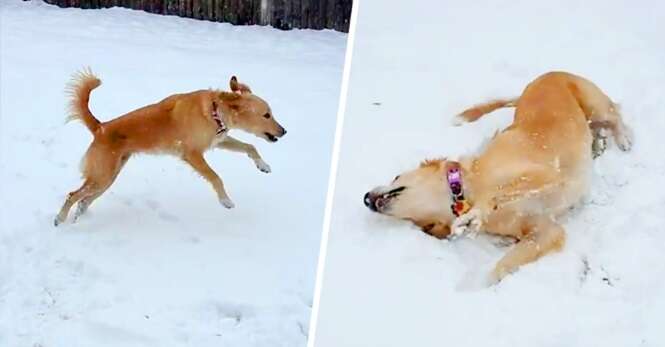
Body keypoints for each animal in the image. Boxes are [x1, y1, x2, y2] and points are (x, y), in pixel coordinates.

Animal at [53, 69, 286, 227]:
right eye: (266, 115)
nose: (284, 131)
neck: (214, 111)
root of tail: (100, 127)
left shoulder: (220, 140)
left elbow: (250, 147)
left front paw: (263, 165)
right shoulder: (192, 154)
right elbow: (215, 177)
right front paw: (225, 200)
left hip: (106, 179)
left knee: (84, 200)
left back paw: (76, 218)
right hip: (102, 176)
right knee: (72, 195)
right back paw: (59, 219)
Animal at [364, 72, 632, 284]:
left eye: (397, 176)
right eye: (422, 225)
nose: (366, 199)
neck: (467, 188)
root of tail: (547, 74)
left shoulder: (544, 175)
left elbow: (498, 195)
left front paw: (475, 218)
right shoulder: (546, 232)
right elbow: (509, 259)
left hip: (594, 104)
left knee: (616, 113)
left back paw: (622, 138)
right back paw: (598, 145)